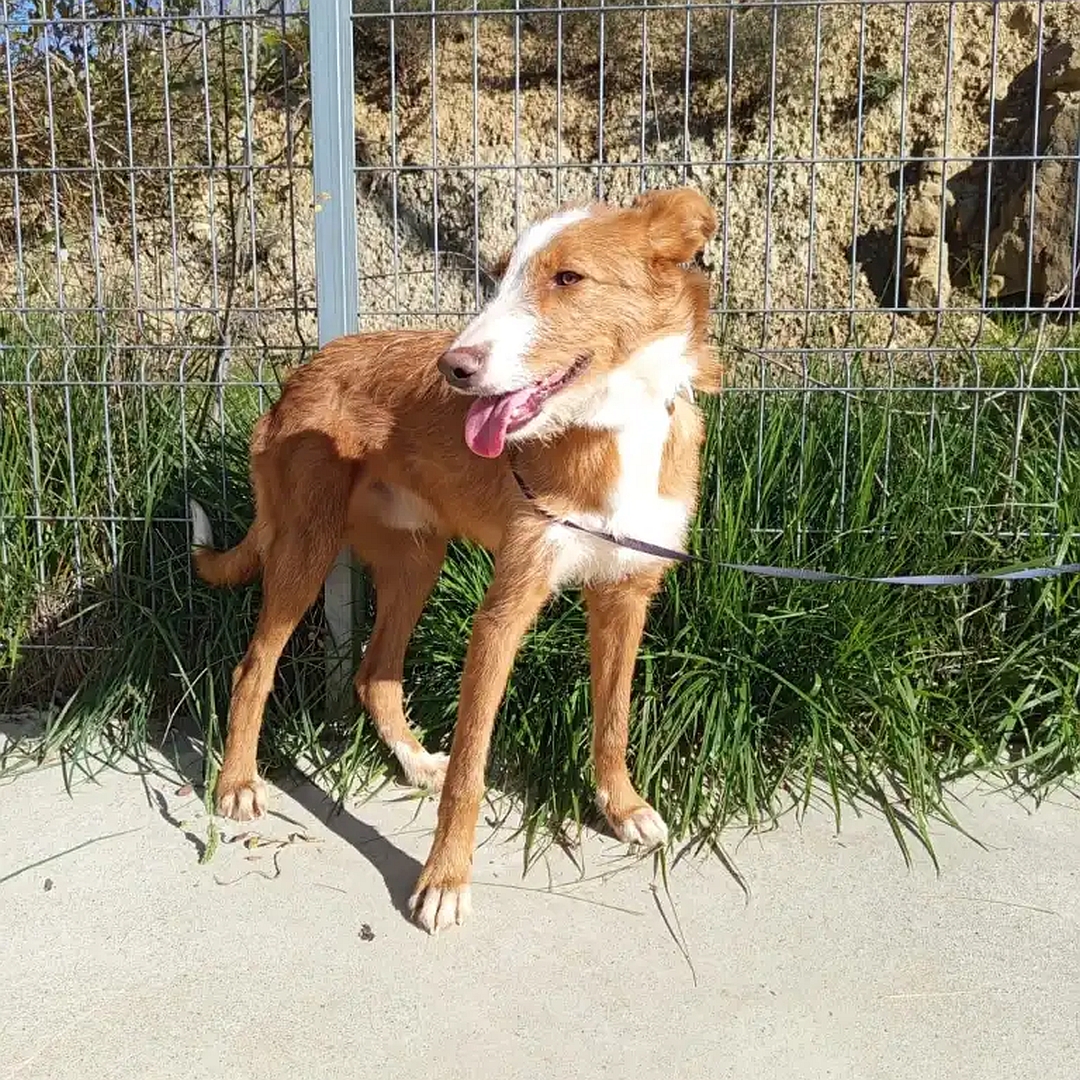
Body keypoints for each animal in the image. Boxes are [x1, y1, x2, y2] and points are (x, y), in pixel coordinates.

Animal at [190, 185, 721, 928]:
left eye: (568, 278)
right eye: (498, 276)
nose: (454, 368)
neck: (611, 428)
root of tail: (302, 371)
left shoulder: (625, 596)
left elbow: (612, 721)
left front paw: (621, 806)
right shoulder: (502, 615)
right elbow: (472, 766)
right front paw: (444, 880)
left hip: (418, 559)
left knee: (375, 675)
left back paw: (412, 761)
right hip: (304, 548)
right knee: (253, 668)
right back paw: (237, 782)